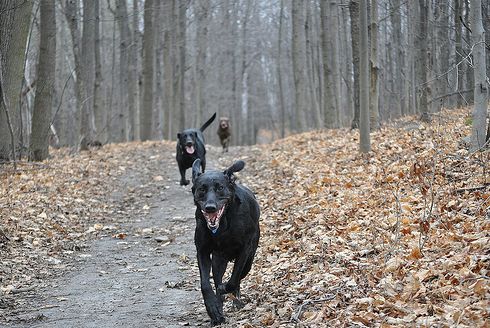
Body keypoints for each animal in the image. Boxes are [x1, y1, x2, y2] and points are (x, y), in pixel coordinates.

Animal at [191, 159, 260, 326]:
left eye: (220, 188)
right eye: (201, 189)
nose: (210, 207)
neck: (223, 225)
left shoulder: (245, 249)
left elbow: (234, 278)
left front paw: (226, 291)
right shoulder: (202, 250)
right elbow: (205, 284)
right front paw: (213, 309)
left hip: (249, 255)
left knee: (240, 274)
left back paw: (235, 300)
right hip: (218, 259)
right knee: (217, 278)